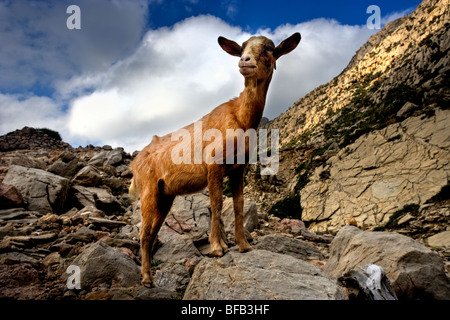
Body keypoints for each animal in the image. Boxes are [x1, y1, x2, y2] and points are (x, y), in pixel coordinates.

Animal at [129, 32, 298, 288]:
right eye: (242, 49)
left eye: (269, 49)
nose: (245, 61)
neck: (241, 119)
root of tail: (135, 164)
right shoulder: (213, 165)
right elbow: (216, 203)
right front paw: (218, 248)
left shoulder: (239, 169)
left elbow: (238, 205)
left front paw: (244, 245)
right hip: (148, 189)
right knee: (143, 232)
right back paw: (147, 279)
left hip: (165, 195)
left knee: (153, 231)